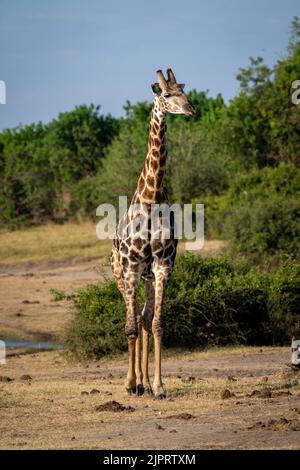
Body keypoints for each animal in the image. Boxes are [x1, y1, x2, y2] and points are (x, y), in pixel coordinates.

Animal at [111, 68, 196, 398]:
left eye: (184, 91)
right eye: (166, 94)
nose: (191, 109)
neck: (151, 199)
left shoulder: (162, 266)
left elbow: (157, 324)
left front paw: (158, 386)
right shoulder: (133, 267)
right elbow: (130, 327)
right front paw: (129, 384)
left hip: (147, 277)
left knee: (146, 319)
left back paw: (145, 383)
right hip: (120, 275)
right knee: (133, 319)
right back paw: (134, 383)